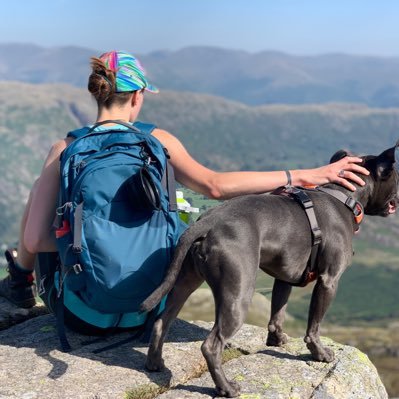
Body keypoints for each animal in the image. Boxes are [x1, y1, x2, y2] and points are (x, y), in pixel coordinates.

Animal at [142, 145, 398, 398]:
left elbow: (277, 314)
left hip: (185, 282)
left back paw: (155, 364)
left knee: (161, 321)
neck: (342, 197)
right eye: (396, 178)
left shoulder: (285, 278)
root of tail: (208, 221)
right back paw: (227, 388)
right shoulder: (329, 281)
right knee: (211, 345)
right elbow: (313, 326)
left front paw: (276, 340)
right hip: (238, 296)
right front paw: (319, 353)